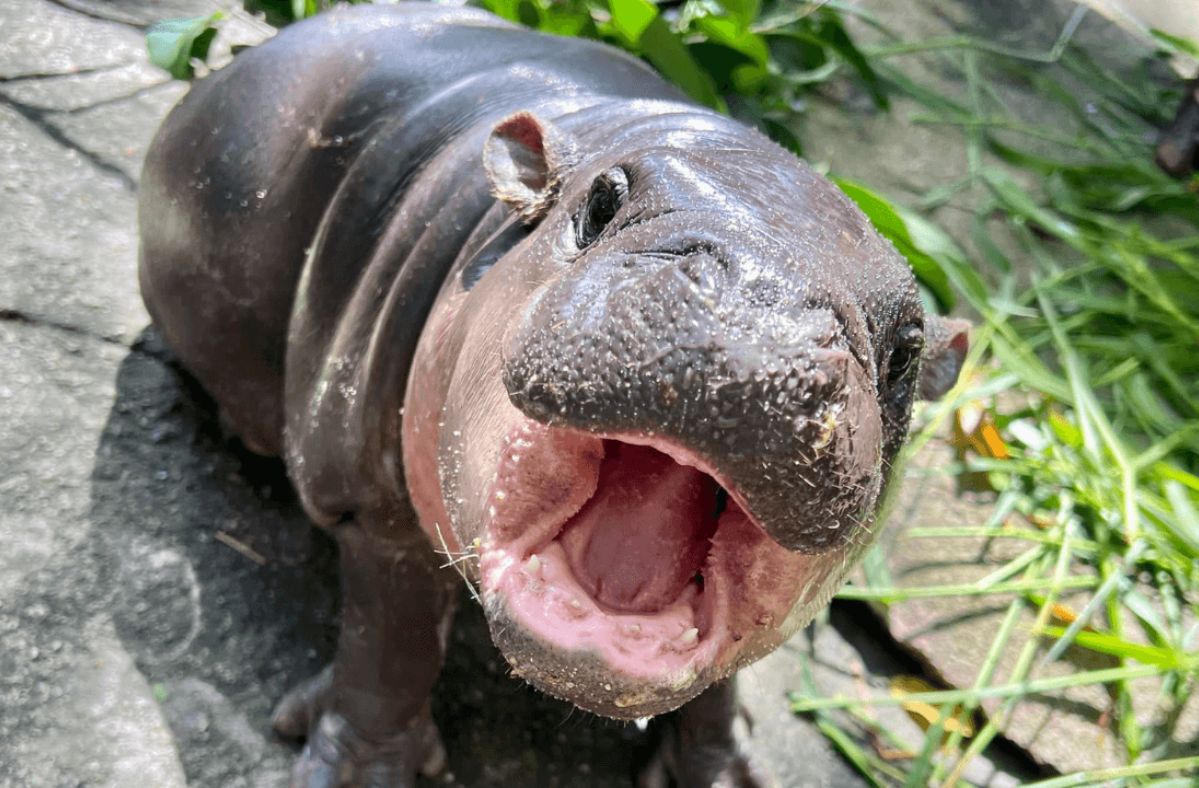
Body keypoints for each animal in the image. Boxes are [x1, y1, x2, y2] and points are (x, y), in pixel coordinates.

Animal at [136, 3, 968, 782]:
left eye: (906, 353)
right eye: (600, 202)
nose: (758, 310)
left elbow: (717, 689)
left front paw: (725, 770)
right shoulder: (371, 502)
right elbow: (389, 640)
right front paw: (358, 774)